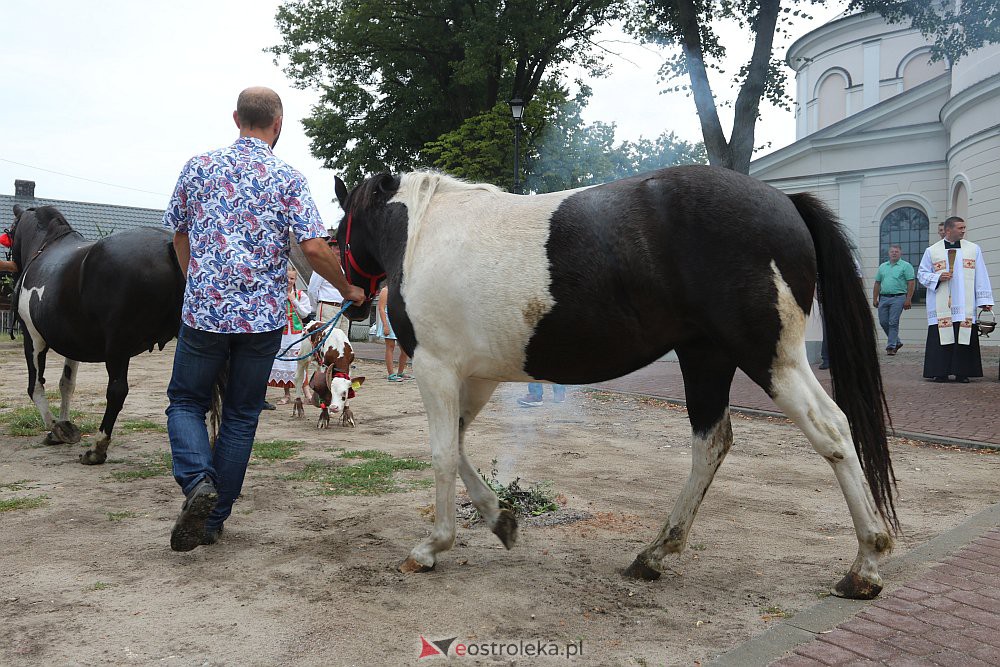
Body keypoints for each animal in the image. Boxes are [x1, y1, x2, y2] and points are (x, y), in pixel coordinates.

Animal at [8, 204, 185, 464]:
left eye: (9, 233)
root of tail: (168, 245)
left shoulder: (33, 338)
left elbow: (36, 386)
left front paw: (56, 429)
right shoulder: (72, 345)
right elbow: (66, 384)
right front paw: (63, 425)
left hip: (118, 348)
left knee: (117, 391)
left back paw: (97, 449)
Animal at [334, 166, 900, 600]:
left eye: (341, 229)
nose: (355, 300)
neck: (424, 233)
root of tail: (785, 200)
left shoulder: (436, 369)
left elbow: (443, 454)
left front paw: (432, 547)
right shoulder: (475, 376)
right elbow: (459, 444)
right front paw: (501, 520)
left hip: (769, 360)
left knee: (831, 429)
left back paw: (865, 565)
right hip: (707, 359)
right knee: (712, 443)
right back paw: (654, 554)